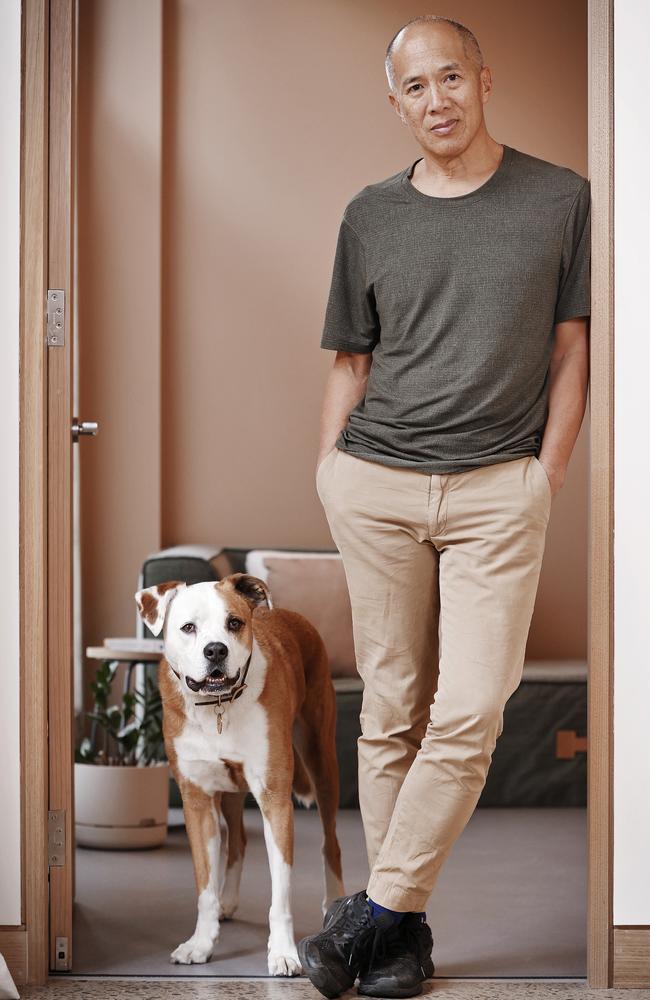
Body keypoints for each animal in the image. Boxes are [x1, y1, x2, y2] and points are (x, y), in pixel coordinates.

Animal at [132, 576, 344, 972]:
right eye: (188, 627)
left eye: (234, 623)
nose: (215, 651)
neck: (218, 706)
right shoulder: (197, 802)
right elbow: (204, 887)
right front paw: (201, 943)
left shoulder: (275, 801)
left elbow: (281, 893)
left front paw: (283, 952)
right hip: (229, 791)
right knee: (239, 841)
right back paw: (227, 902)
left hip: (322, 758)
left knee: (331, 842)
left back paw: (334, 901)